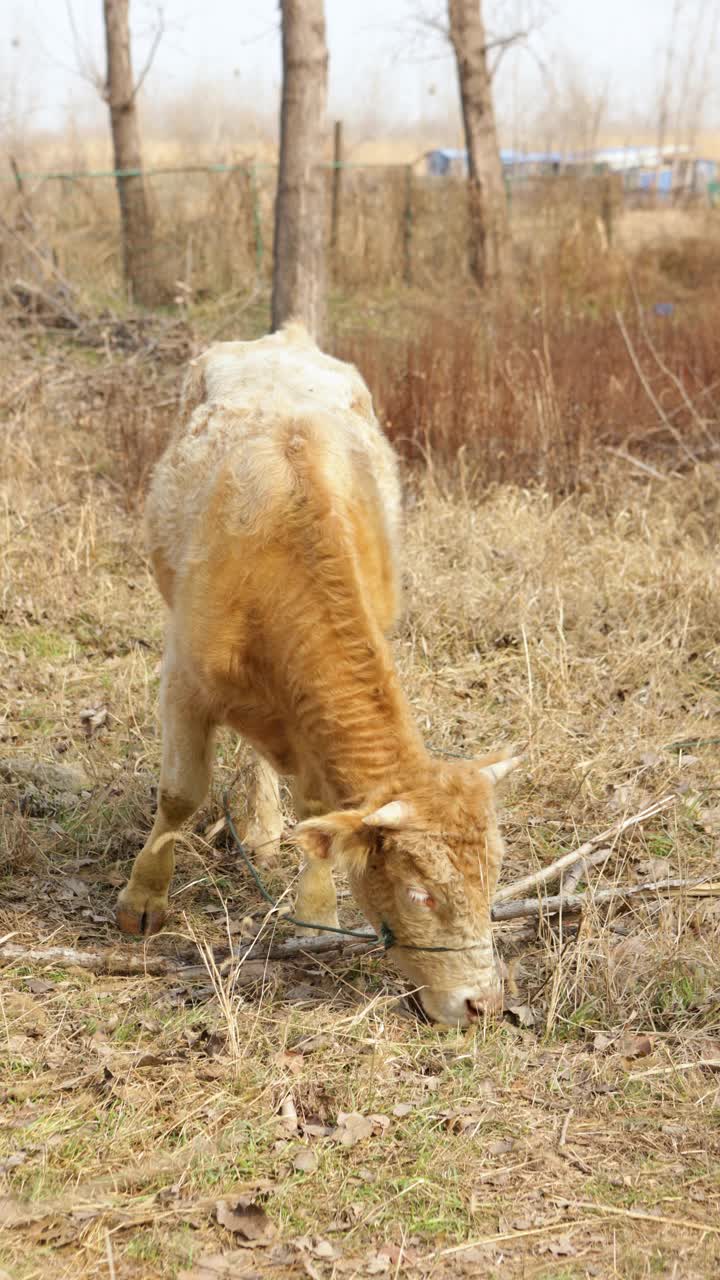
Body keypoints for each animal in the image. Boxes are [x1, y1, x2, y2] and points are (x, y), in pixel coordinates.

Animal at [116, 325, 515, 1024]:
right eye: (421, 894)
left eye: (491, 880)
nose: (482, 1004)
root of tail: (286, 337)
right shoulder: (184, 683)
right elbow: (180, 794)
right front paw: (144, 899)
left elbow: (319, 812)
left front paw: (315, 913)